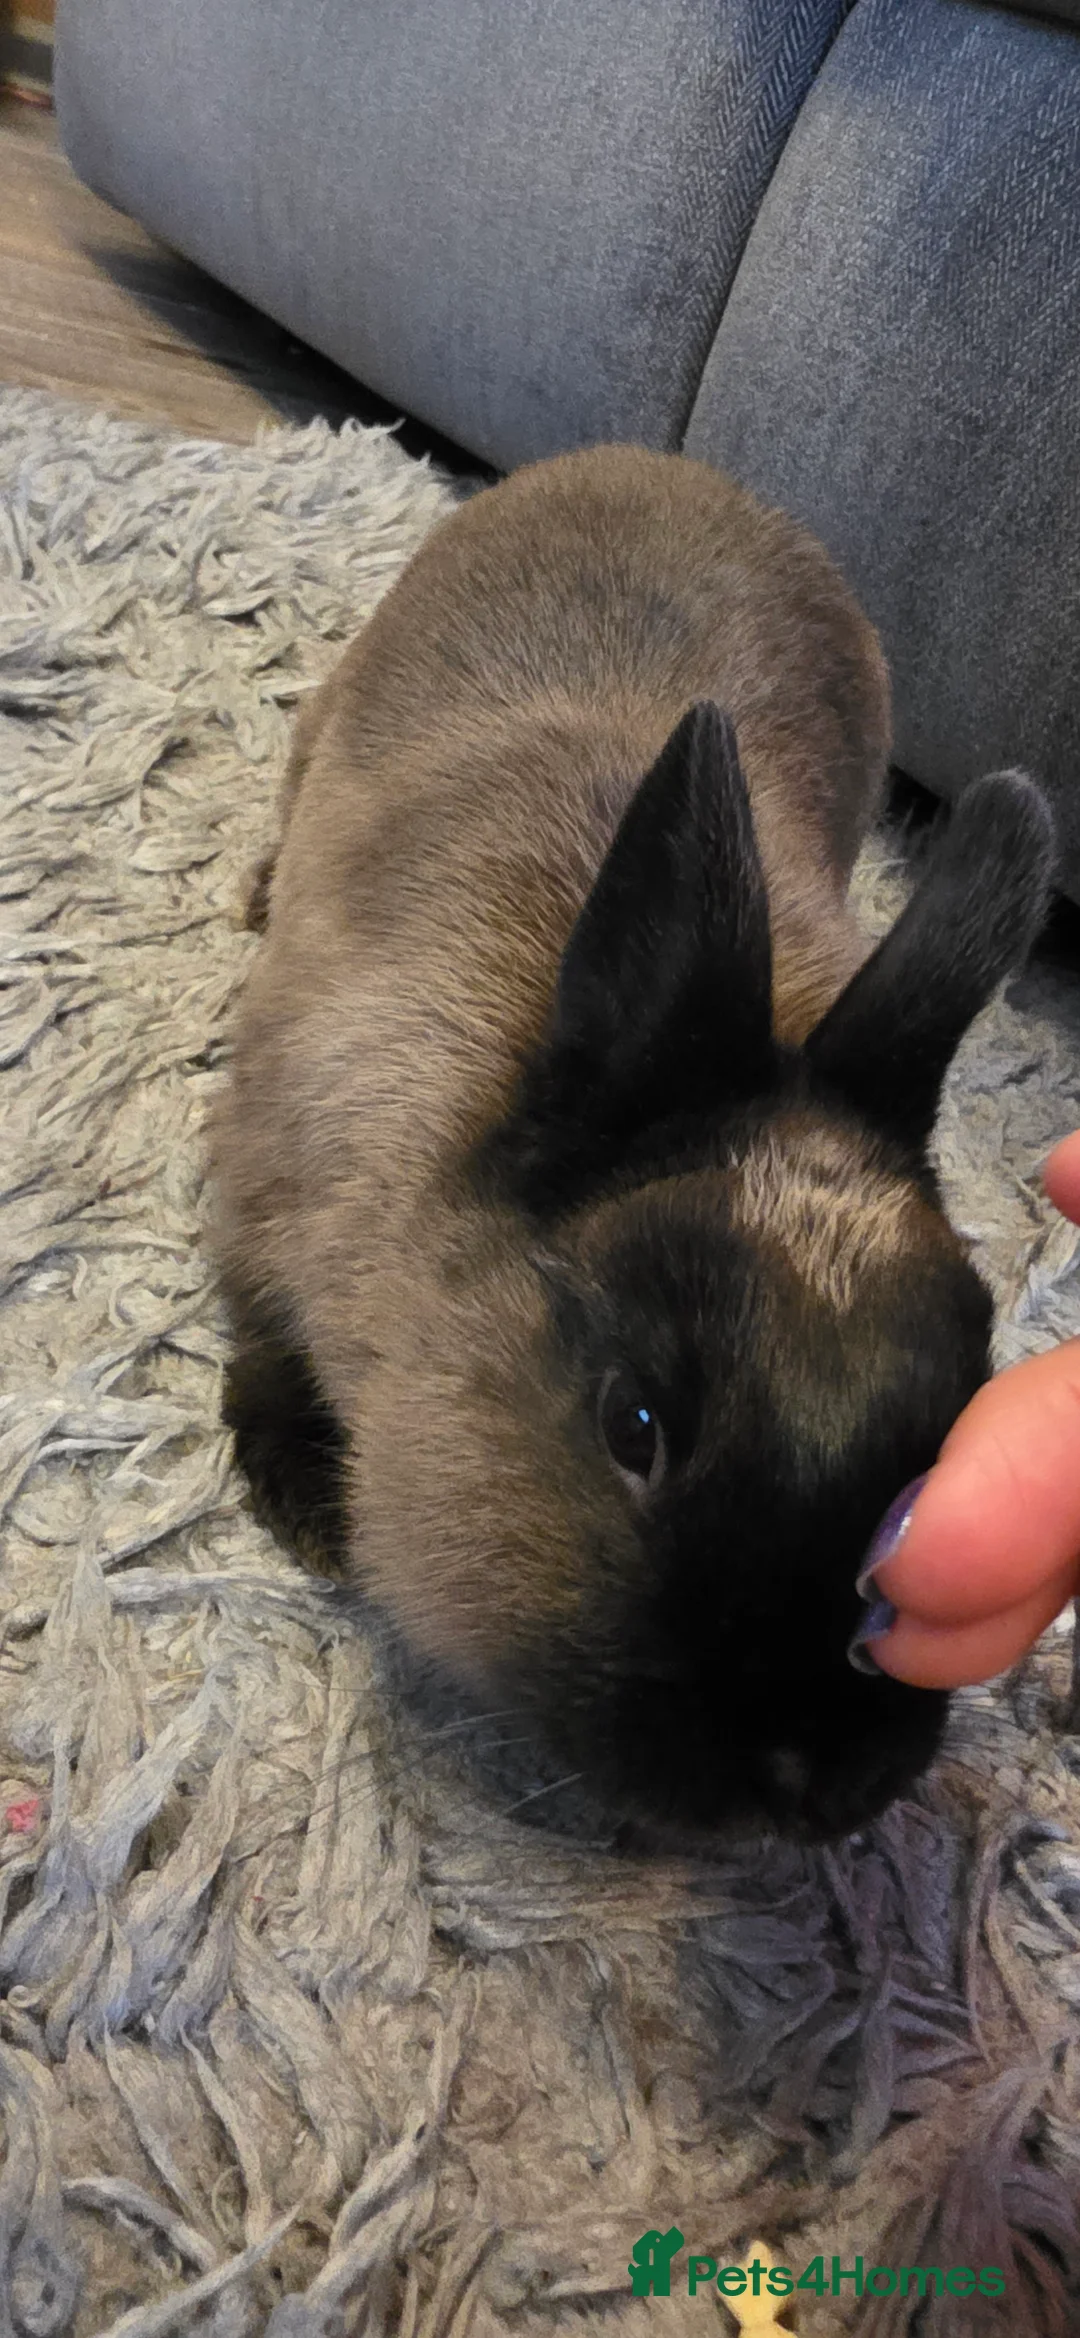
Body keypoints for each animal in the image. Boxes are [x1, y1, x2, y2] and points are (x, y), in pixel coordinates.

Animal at [211, 444, 1054, 1846]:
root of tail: (658, 463)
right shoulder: (262, 1193)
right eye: (633, 1422)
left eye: (952, 1424)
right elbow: (262, 1334)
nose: (821, 1782)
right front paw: (311, 1512)